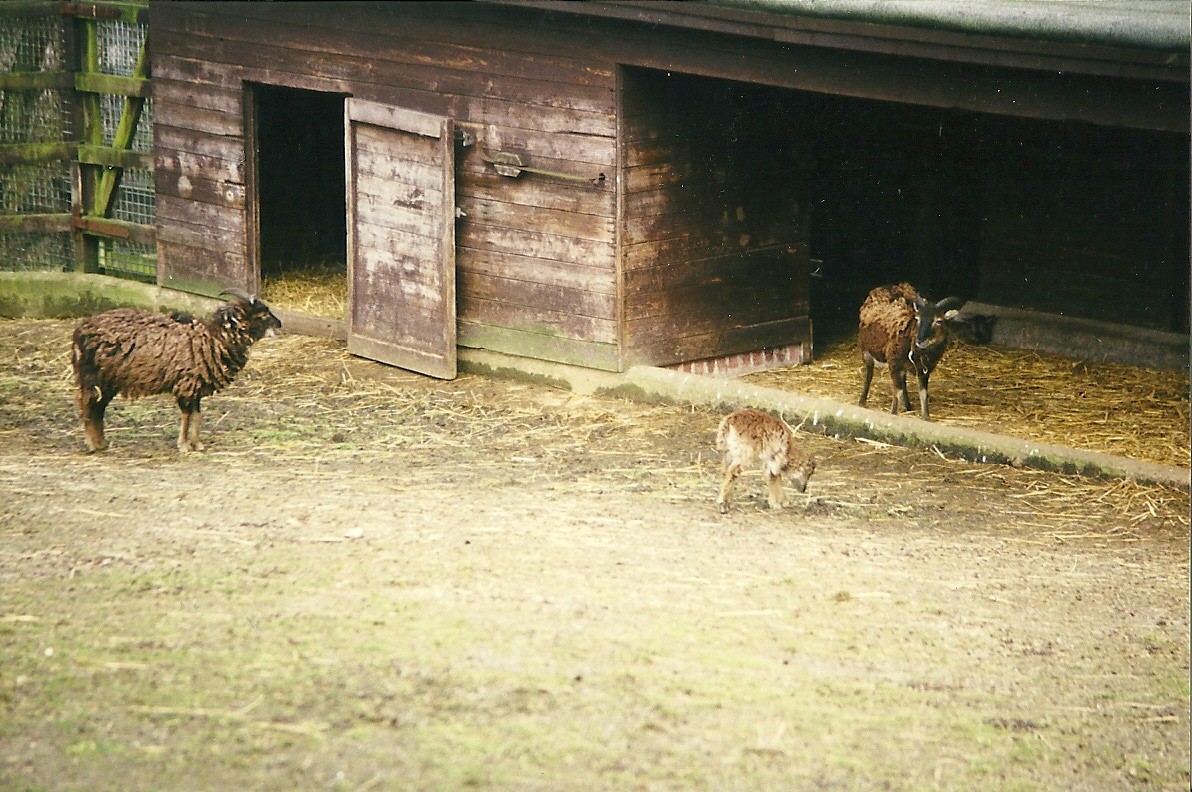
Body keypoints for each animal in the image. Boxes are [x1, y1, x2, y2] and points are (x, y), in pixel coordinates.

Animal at [71, 289, 282, 453]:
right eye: (262, 314)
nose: (280, 324)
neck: (215, 338)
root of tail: (79, 331)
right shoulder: (186, 384)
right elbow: (187, 416)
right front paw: (184, 446)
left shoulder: (196, 386)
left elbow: (197, 415)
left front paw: (198, 445)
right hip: (93, 376)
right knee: (88, 405)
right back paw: (93, 444)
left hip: (109, 379)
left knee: (98, 408)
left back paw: (101, 443)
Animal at [857, 283, 965, 421]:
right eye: (917, 319)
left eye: (939, 321)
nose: (920, 340)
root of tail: (887, 286)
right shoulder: (894, 363)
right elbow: (896, 391)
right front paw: (893, 413)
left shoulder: (924, 370)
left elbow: (923, 393)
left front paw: (926, 417)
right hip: (866, 350)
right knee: (869, 375)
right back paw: (862, 401)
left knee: (903, 382)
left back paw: (907, 405)